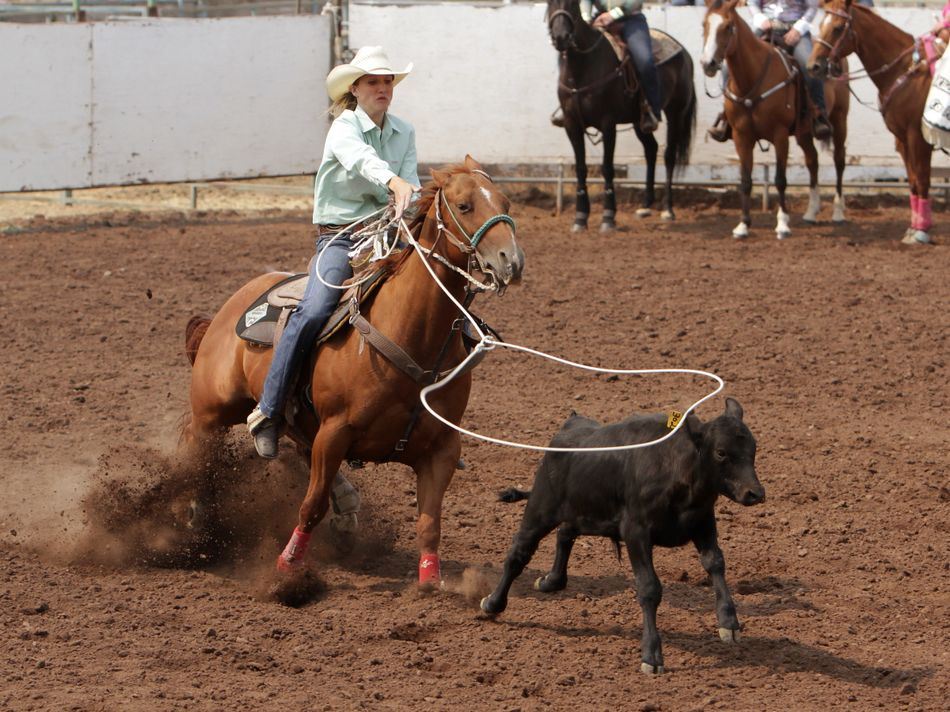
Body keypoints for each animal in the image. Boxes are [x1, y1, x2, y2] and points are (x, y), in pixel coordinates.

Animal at [479, 397, 765, 674]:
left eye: (753, 448)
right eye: (721, 452)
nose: (755, 493)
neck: (675, 468)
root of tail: (570, 426)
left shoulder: (703, 521)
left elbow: (715, 563)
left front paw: (729, 622)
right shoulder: (635, 532)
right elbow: (649, 588)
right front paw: (652, 655)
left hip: (588, 514)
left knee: (565, 532)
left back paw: (551, 581)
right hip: (541, 509)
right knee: (518, 553)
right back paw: (493, 603)